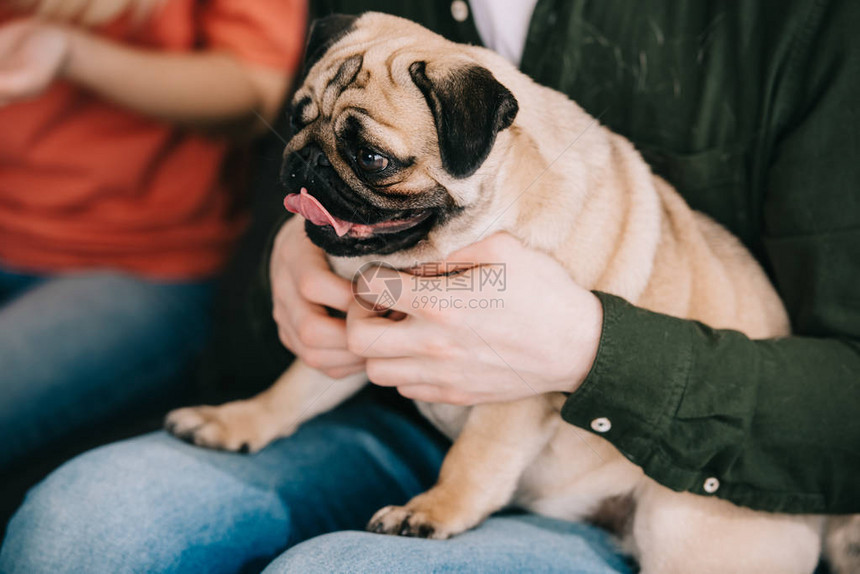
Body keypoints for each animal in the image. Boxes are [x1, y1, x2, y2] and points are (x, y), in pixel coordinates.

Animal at [166, 13, 852, 574]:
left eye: (372, 158)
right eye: (296, 118)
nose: (304, 161)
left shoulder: (516, 390)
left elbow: (475, 456)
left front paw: (434, 510)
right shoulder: (348, 332)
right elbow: (295, 387)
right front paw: (236, 419)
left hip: (685, 533)